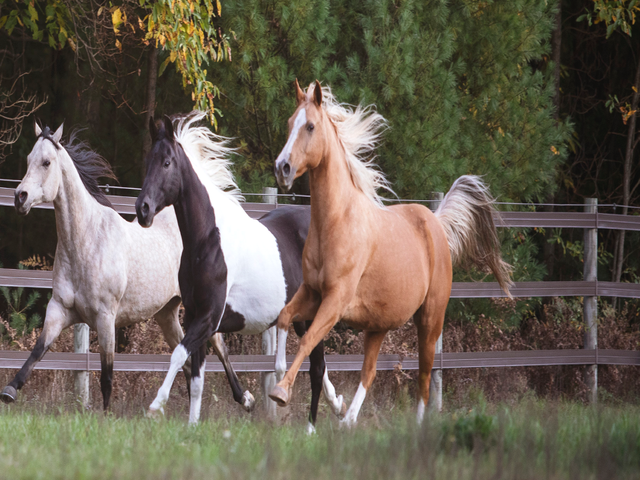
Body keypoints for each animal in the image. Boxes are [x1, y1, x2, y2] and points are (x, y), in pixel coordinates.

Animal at [1, 122, 187, 410]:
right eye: (29, 159)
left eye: (46, 162)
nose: (20, 197)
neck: (86, 241)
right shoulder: (59, 310)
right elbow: (38, 350)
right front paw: (10, 390)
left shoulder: (106, 318)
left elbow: (107, 373)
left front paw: (105, 415)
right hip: (167, 314)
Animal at [135, 112, 344, 430]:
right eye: (148, 162)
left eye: (167, 162)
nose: (142, 210)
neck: (207, 241)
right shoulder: (195, 314)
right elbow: (196, 378)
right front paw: (192, 426)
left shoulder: (209, 317)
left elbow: (178, 355)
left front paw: (155, 407)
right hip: (300, 320)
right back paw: (335, 408)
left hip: (311, 318)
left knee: (318, 368)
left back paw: (310, 428)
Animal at [269, 81, 513, 426]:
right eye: (291, 123)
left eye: (310, 126)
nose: (282, 168)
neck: (337, 222)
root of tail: (436, 222)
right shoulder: (311, 292)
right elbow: (284, 317)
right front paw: (282, 384)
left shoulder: (335, 300)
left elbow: (307, 340)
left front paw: (281, 393)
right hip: (378, 327)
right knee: (369, 373)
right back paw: (347, 421)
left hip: (430, 318)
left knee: (424, 377)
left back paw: (413, 427)